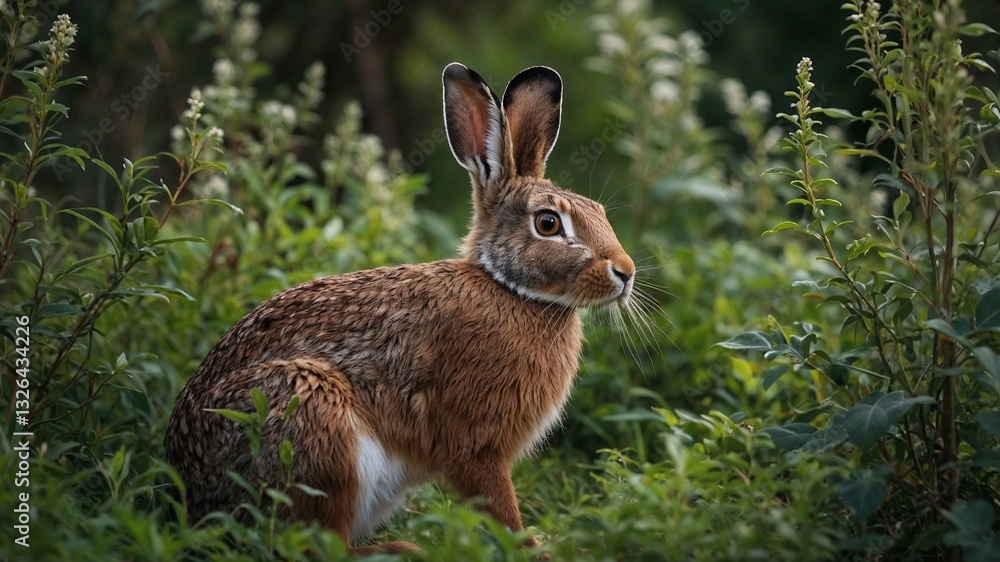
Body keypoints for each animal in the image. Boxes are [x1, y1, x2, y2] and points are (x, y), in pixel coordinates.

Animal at [164, 62, 636, 555]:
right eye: (548, 223)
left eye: (599, 211)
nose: (626, 272)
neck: (510, 289)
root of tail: (194, 495)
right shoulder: (475, 446)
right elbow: (500, 507)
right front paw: (533, 548)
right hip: (312, 413)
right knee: (318, 543)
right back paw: (403, 551)